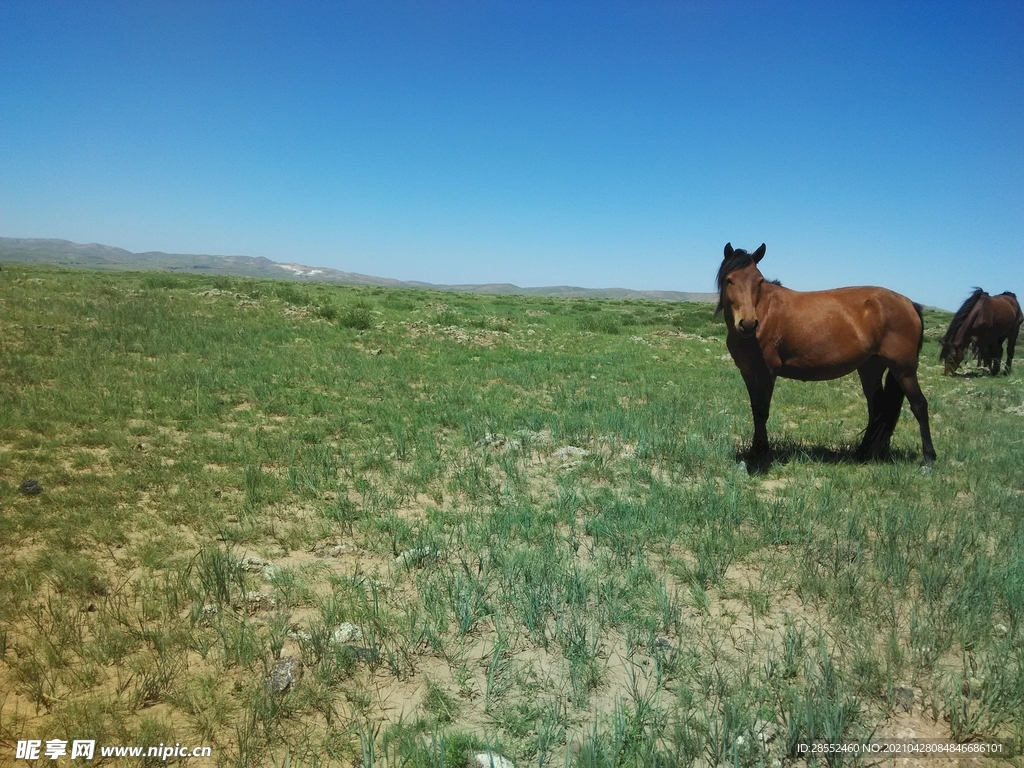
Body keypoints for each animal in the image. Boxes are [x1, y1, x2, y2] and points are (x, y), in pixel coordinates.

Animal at [720, 243, 937, 468]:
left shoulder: (767, 373)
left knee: (919, 406)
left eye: (759, 281)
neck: (764, 311)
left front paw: (760, 457)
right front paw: (753, 455)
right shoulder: (748, 373)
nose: (748, 324)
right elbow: (755, 411)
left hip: (904, 369)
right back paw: (866, 453)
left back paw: (928, 460)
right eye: (729, 279)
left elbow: (762, 412)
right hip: (871, 367)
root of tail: (909, 303)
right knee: (877, 408)